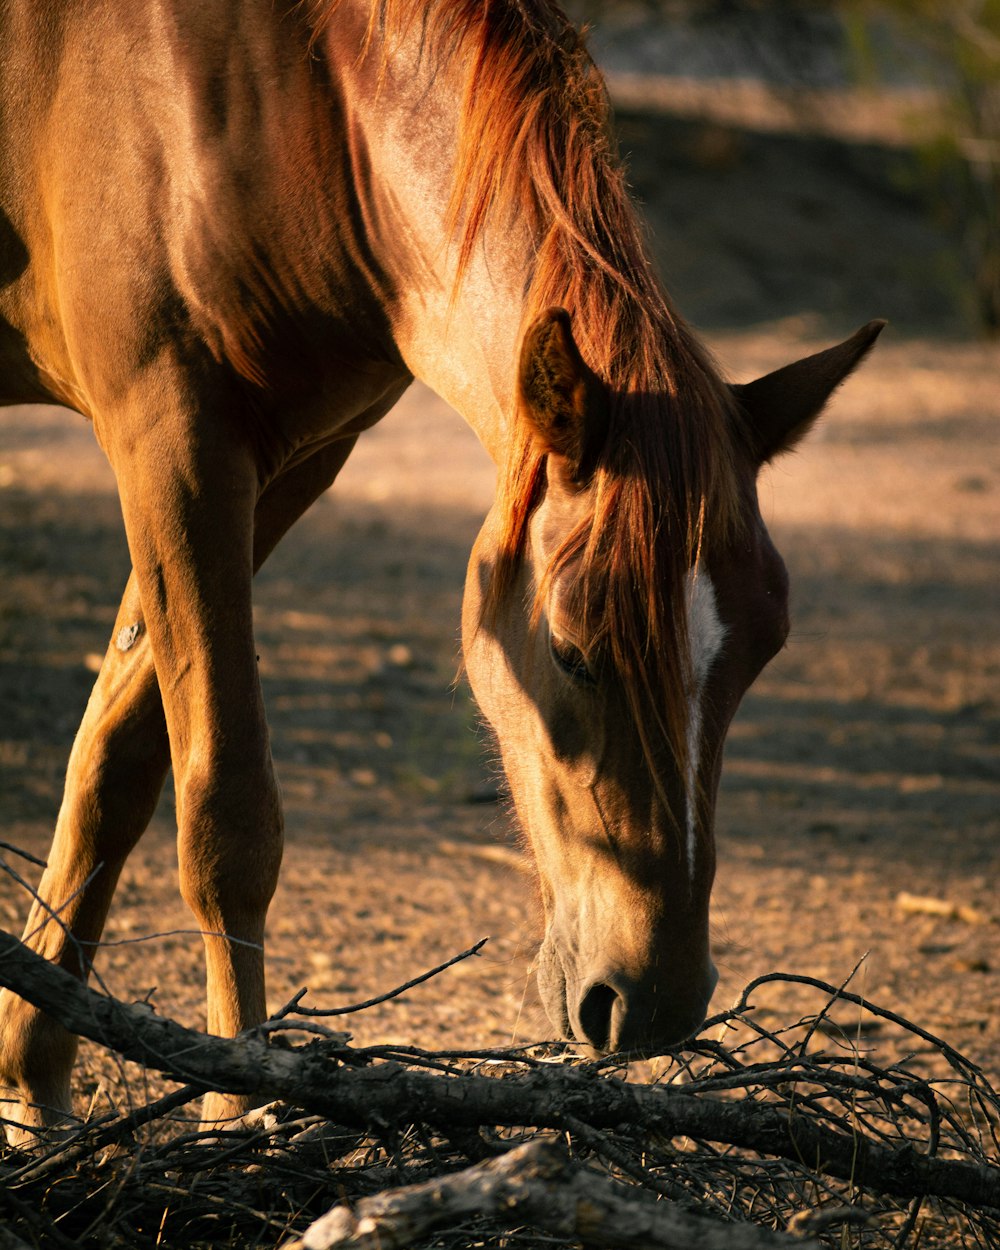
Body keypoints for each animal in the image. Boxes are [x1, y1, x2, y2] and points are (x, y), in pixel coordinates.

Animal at [0, 0, 885, 1145]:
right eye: (572, 649)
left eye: (763, 652)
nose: (656, 1002)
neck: (293, 94)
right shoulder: (173, 435)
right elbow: (226, 811)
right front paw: (246, 1101)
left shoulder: (286, 458)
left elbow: (120, 759)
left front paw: (35, 1081)